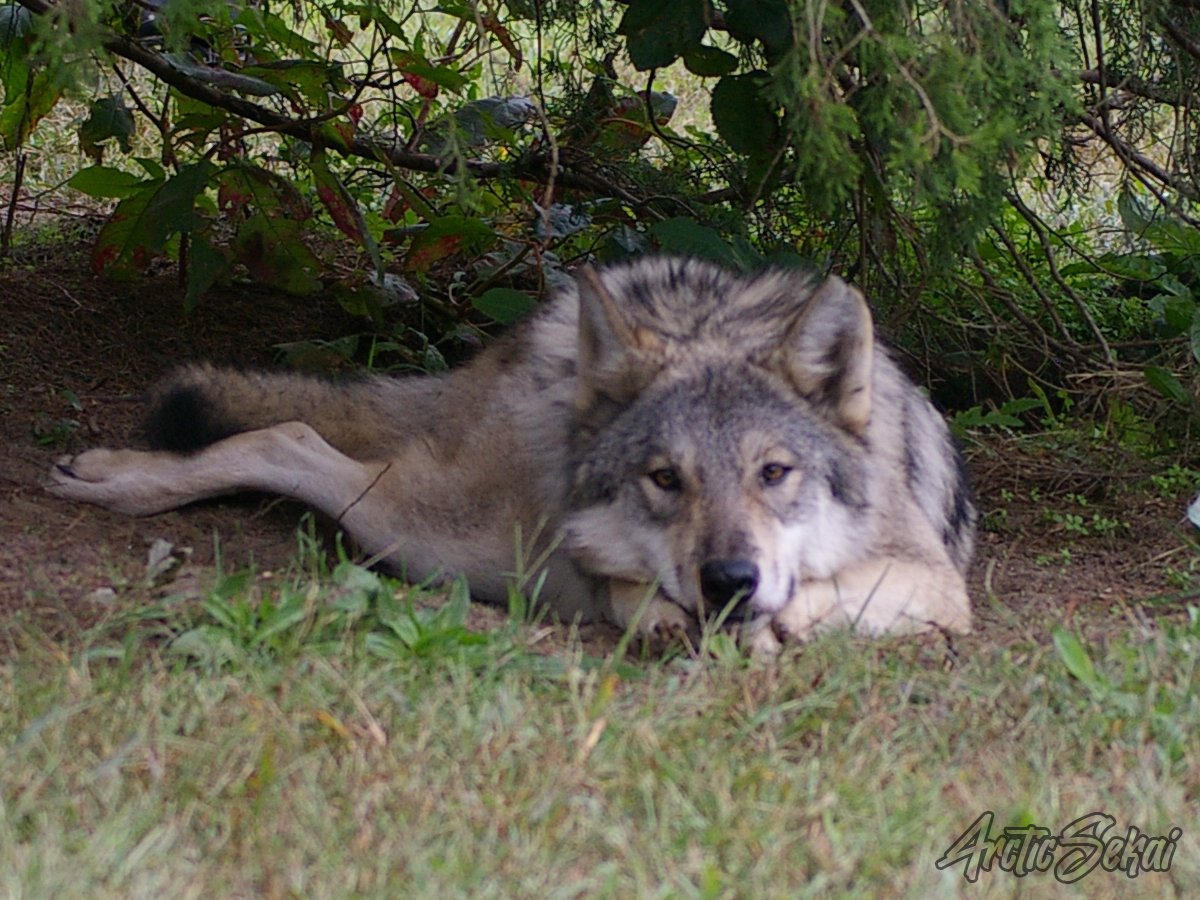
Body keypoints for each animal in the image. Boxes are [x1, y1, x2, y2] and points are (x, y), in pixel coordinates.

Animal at [45, 256, 975, 650]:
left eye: (774, 474)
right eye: (665, 479)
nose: (729, 580)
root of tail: (541, 327)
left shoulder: (938, 580)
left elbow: (831, 591)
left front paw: (771, 616)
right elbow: (626, 585)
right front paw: (665, 612)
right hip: (452, 539)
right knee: (294, 435)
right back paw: (115, 479)